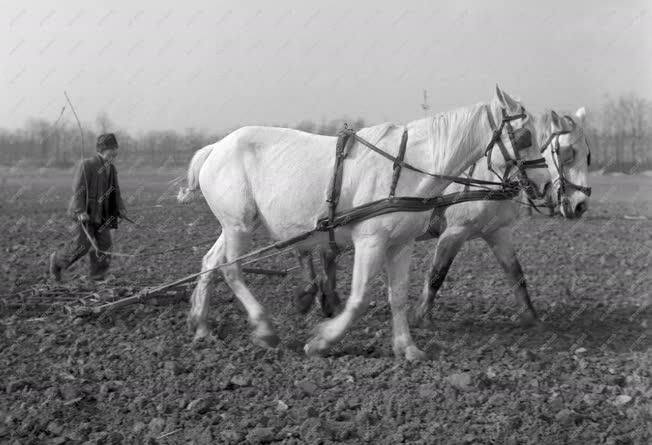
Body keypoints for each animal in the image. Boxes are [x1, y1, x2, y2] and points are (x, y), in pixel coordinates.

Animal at [178, 86, 552, 360]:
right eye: (524, 137)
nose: (546, 185)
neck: (407, 167)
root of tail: (215, 147)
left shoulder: (401, 244)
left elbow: (398, 295)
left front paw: (408, 348)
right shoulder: (371, 240)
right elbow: (359, 299)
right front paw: (322, 341)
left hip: (237, 225)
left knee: (210, 263)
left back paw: (201, 326)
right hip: (238, 225)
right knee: (231, 270)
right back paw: (264, 329)